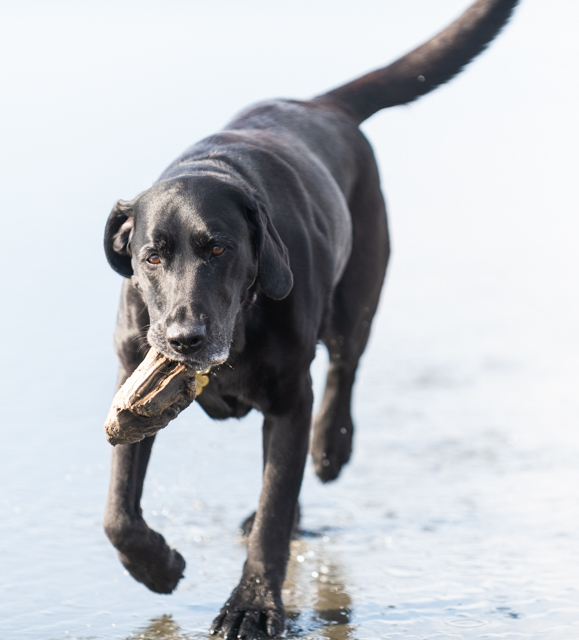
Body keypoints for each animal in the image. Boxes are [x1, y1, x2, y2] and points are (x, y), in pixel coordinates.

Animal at [103, 1, 519, 637]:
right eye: (151, 257)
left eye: (218, 248)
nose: (184, 339)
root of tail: (322, 105)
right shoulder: (133, 380)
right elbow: (119, 510)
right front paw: (158, 566)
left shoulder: (290, 398)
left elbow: (275, 511)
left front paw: (252, 605)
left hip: (357, 296)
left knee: (342, 373)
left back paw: (331, 446)